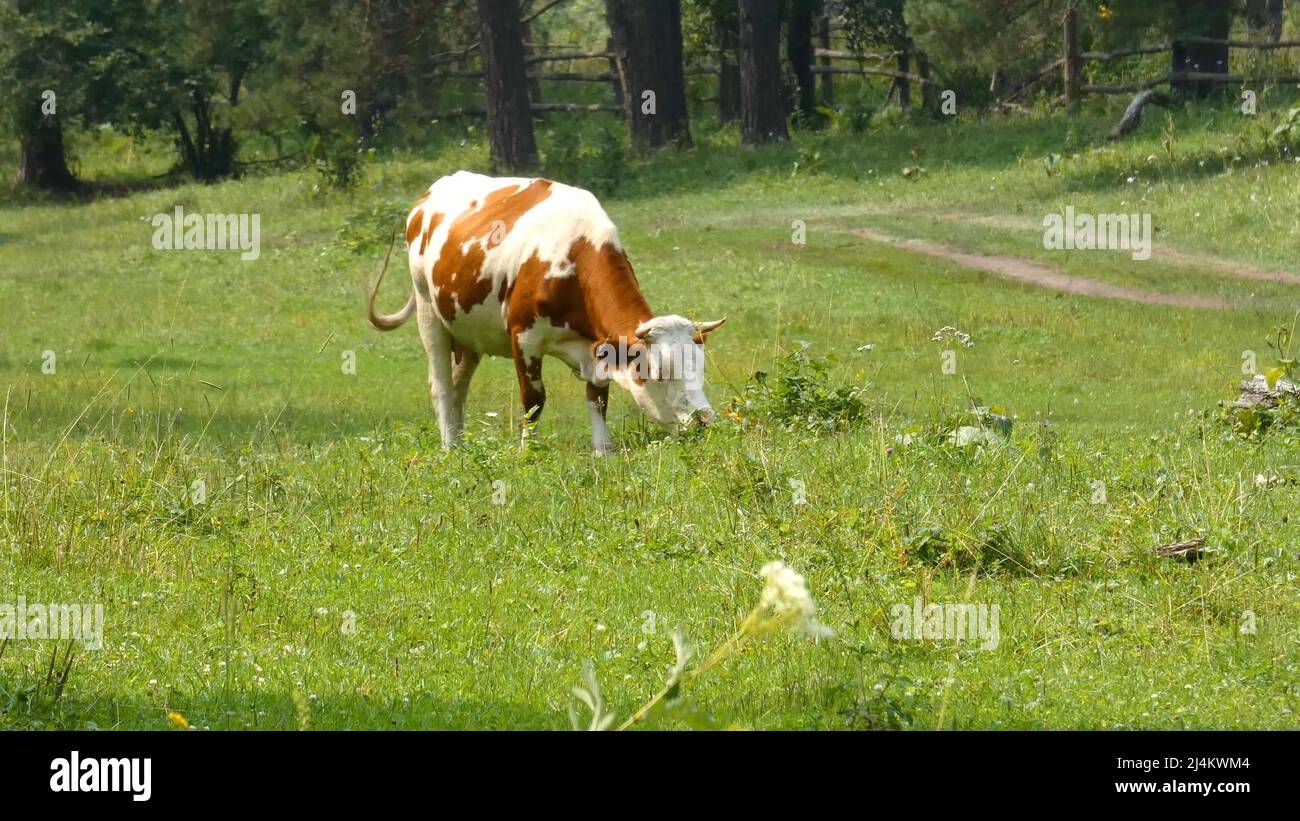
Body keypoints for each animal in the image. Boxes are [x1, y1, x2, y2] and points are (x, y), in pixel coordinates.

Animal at [371, 171, 728, 454]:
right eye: (658, 370)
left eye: (700, 365)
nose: (705, 421)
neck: (573, 258)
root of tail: (430, 195)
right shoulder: (523, 336)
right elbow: (534, 399)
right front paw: (528, 451)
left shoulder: (596, 347)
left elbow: (598, 398)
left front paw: (603, 450)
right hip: (428, 312)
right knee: (442, 386)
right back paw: (448, 447)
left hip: (468, 332)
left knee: (460, 386)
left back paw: (460, 444)